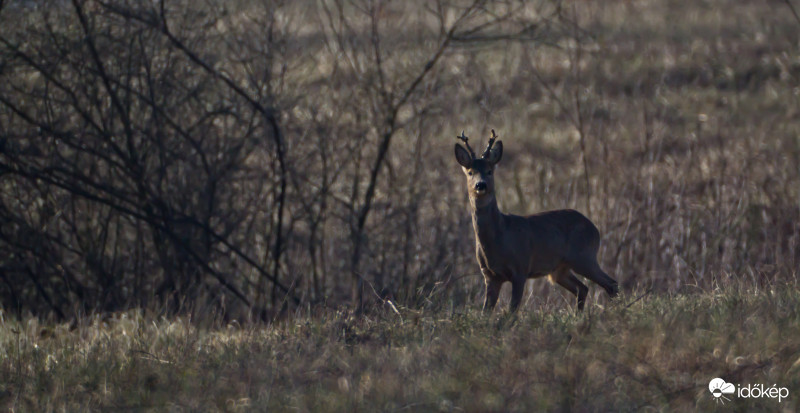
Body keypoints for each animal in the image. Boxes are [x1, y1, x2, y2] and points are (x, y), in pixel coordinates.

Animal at [456, 130, 620, 310]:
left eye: (489, 171)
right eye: (470, 172)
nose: (481, 185)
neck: (500, 236)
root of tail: (594, 229)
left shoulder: (520, 268)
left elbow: (511, 312)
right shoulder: (490, 276)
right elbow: (485, 312)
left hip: (584, 257)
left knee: (611, 283)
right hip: (560, 269)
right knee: (583, 288)